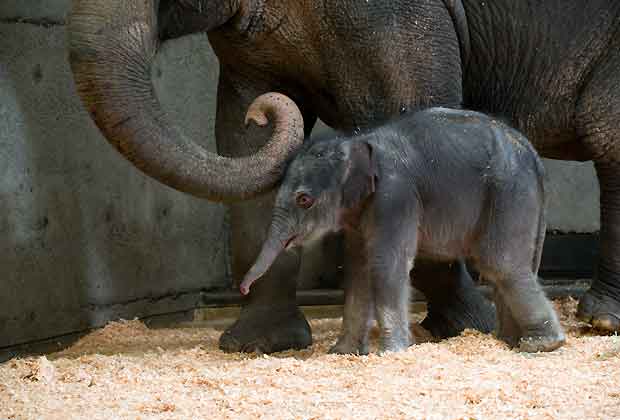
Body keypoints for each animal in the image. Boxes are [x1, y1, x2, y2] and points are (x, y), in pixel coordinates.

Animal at [241, 106, 568, 354]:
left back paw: (542, 344)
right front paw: (342, 353)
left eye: (304, 200)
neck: (359, 143)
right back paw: (509, 342)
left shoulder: (395, 197)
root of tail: (533, 154)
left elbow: (386, 265)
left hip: (509, 193)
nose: (243, 288)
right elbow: (359, 270)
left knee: (500, 263)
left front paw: (391, 353)